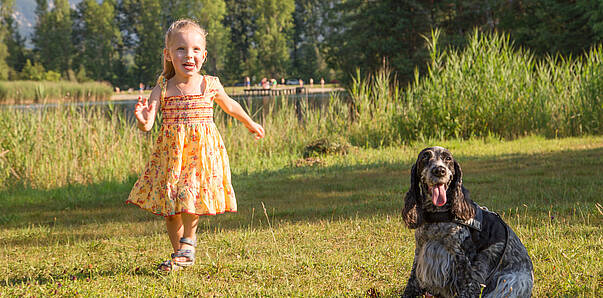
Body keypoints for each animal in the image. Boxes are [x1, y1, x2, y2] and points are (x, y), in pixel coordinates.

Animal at [402, 147, 532, 298]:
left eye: (448, 159)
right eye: (425, 157)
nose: (439, 170)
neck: (438, 215)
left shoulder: (464, 262)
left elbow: (467, 287)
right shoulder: (420, 251)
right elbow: (412, 282)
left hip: (510, 282)